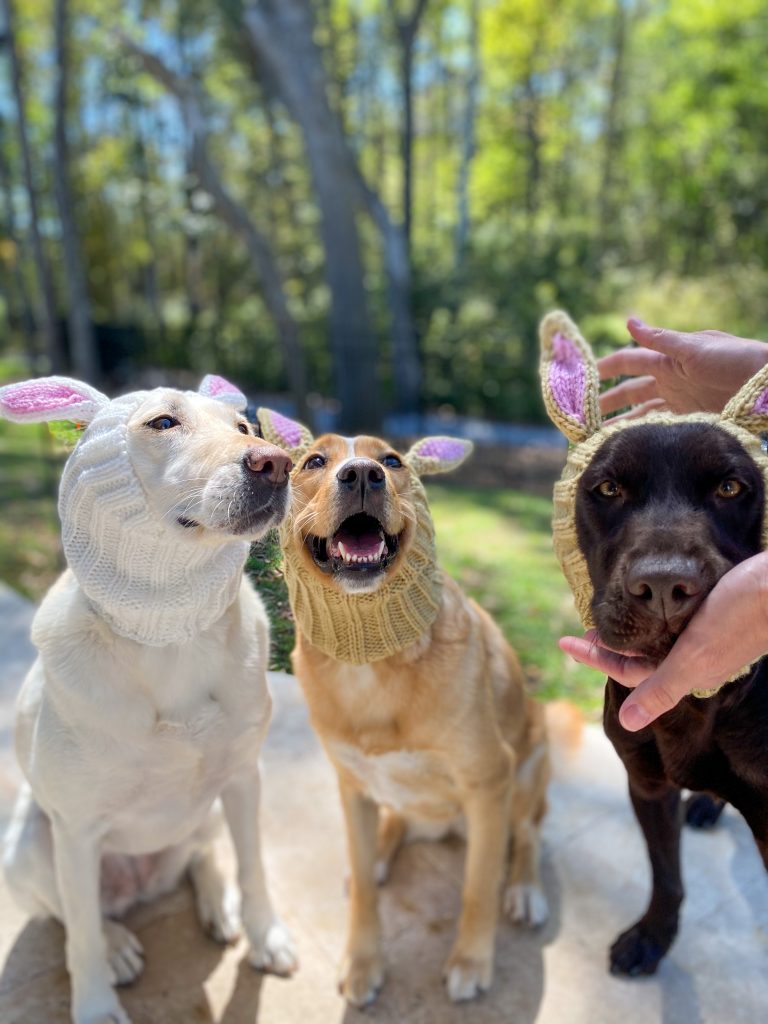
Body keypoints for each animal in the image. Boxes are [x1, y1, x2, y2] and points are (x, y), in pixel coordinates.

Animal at [0, 376, 296, 1024]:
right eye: (162, 422)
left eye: (245, 427)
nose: (275, 463)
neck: (171, 635)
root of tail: (143, 883)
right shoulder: (77, 828)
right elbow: (80, 932)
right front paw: (94, 1004)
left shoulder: (245, 779)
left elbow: (256, 867)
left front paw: (265, 933)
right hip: (31, 846)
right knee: (76, 914)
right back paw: (115, 945)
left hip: (209, 810)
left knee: (202, 857)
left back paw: (218, 903)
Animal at [260, 409, 552, 1007]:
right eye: (313, 461)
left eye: (392, 461)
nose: (362, 475)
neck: (372, 660)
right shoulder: (350, 786)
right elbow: (365, 899)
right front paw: (363, 960)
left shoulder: (490, 781)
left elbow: (477, 888)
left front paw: (470, 961)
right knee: (392, 823)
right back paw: (375, 855)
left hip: (532, 758)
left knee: (530, 832)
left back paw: (524, 886)